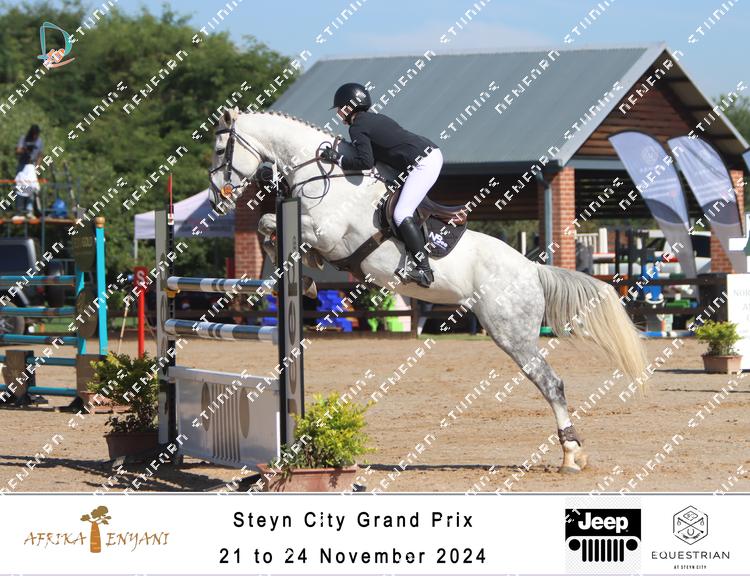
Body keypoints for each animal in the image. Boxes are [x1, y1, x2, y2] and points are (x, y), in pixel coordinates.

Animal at [207, 107, 648, 474]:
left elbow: (267, 224)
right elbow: (269, 227)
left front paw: (303, 276)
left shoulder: (327, 233)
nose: (215, 201)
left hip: (512, 332)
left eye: (218, 149)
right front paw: (309, 277)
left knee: (550, 382)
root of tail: (532, 269)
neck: (323, 172)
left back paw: (571, 455)